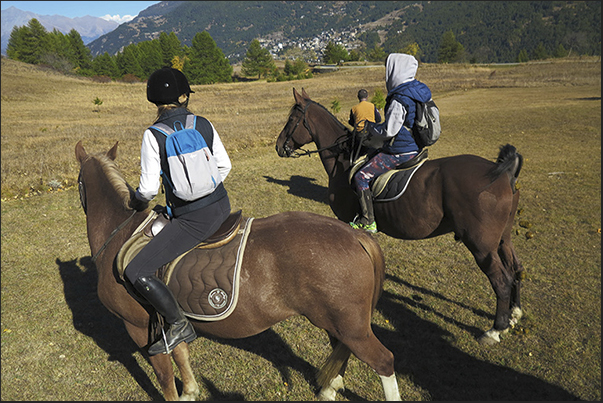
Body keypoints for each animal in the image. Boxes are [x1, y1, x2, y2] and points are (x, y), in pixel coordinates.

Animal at [76, 140, 406, 400]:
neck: (121, 232)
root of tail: (355, 234)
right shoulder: (167, 322)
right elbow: (181, 356)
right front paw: (190, 393)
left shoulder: (139, 327)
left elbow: (165, 378)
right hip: (337, 323)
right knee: (341, 352)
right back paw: (328, 390)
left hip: (352, 328)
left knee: (384, 361)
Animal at [276, 90, 528, 346]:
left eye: (291, 119)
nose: (278, 146)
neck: (345, 162)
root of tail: (504, 173)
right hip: (503, 239)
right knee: (516, 269)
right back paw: (514, 314)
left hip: (481, 245)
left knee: (501, 280)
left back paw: (495, 330)